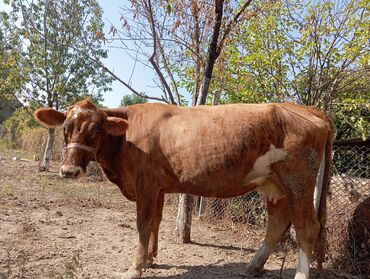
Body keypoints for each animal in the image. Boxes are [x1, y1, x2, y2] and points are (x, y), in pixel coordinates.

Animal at [34, 100, 332, 279]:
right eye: (65, 128)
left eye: (95, 130)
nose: (69, 171)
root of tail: (309, 110)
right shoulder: (159, 188)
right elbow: (155, 221)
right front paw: (150, 259)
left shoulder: (145, 183)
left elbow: (143, 223)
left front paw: (135, 267)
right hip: (274, 185)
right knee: (277, 223)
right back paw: (252, 266)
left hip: (299, 181)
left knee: (307, 228)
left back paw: (299, 275)